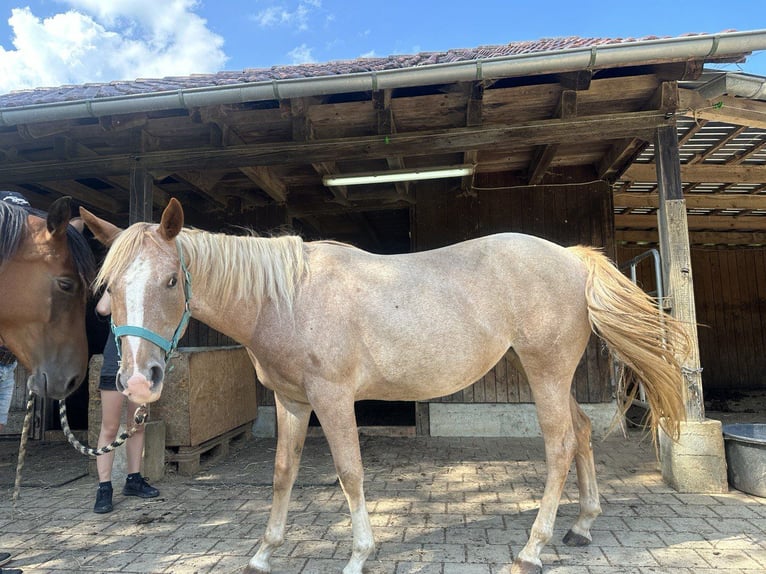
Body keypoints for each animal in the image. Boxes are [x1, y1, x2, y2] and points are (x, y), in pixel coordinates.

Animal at [82, 199, 688, 574]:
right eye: (108, 286)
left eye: (170, 280)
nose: (136, 381)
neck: (288, 298)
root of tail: (570, 258)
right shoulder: (291, 403)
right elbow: (282, 475)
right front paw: (263, 553)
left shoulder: (331, 400)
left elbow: (349, 472)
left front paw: (358, 555)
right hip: (553, 376)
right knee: (581, 433)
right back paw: (581, 526)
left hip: (546, 371)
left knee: (560, 444)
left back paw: (532, 549)